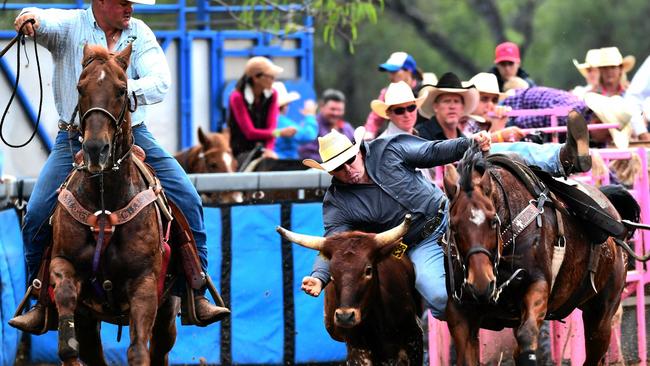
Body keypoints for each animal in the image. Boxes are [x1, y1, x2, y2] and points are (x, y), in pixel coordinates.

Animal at [47, 44, 176, 364]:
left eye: (121, 89)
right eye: (80, 88)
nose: (95, 149)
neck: (104, 202)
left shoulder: (145, 283)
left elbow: (138, 350)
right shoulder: (63, 262)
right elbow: (65, 293)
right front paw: (68, 346)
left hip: (168, 312)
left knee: (159, 349)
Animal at [438, 147, 632, 366]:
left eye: (493, 221)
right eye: (453, 226)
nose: (480, 283)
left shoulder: (538, 285)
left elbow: (527, 334)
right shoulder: (459, 311)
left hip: (602, 317)